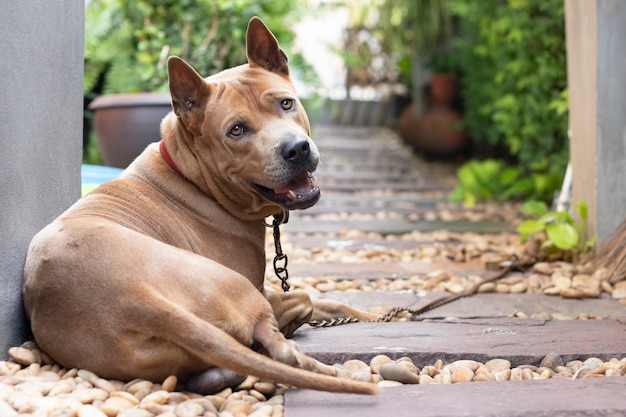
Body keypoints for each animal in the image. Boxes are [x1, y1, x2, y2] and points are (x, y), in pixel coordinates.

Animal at [23, 17, 376, 394]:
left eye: (286, 104)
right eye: (236, 130)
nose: (296, 148)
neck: (193, 177)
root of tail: (139, 299)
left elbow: (332, 301)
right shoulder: (263, 291)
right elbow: (309, 301)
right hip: (240, 291)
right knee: (281, 348)